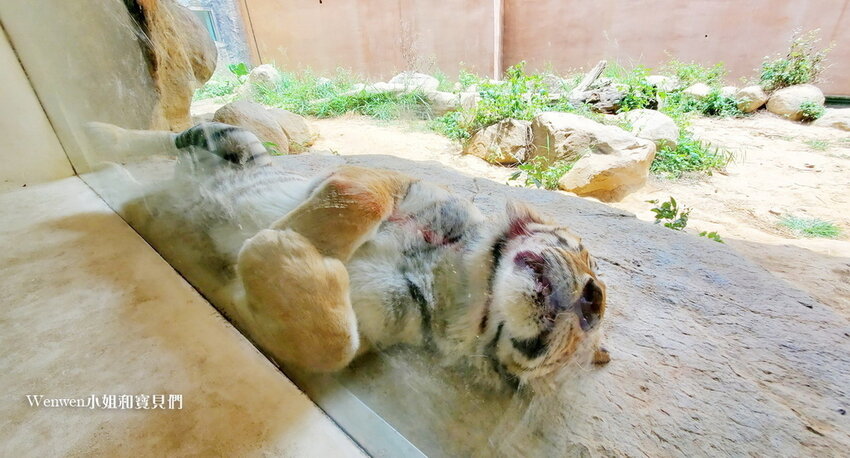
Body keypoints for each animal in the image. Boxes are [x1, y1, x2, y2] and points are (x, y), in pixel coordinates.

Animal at [87, 121, 610, 389]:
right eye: (588, 257)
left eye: (579, 346)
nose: (593, 300)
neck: (459, 282)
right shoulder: (379, 181)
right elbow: (350, 209)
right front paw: (287, 238)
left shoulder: (368, 327)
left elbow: (330, 345)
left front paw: (278, 252)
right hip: (234, 140)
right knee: (168, 134)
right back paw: (101, 134)